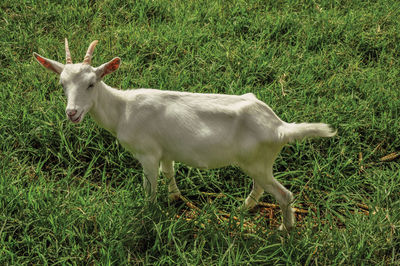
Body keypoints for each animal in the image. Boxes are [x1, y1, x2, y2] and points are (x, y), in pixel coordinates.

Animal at [34, 38, 336, 230]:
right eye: (61, 83)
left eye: (91, 83)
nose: (72, 113)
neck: (123, 109)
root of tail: (279, 126)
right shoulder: (166, 150)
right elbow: (169, 172)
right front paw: (176, 198)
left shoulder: (147, 153)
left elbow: (150, 186)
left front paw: (150, 212)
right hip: (257, 163)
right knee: (261, 188)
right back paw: (243, 210)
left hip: (257, 162)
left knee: (284, 195)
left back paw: (285, 232)